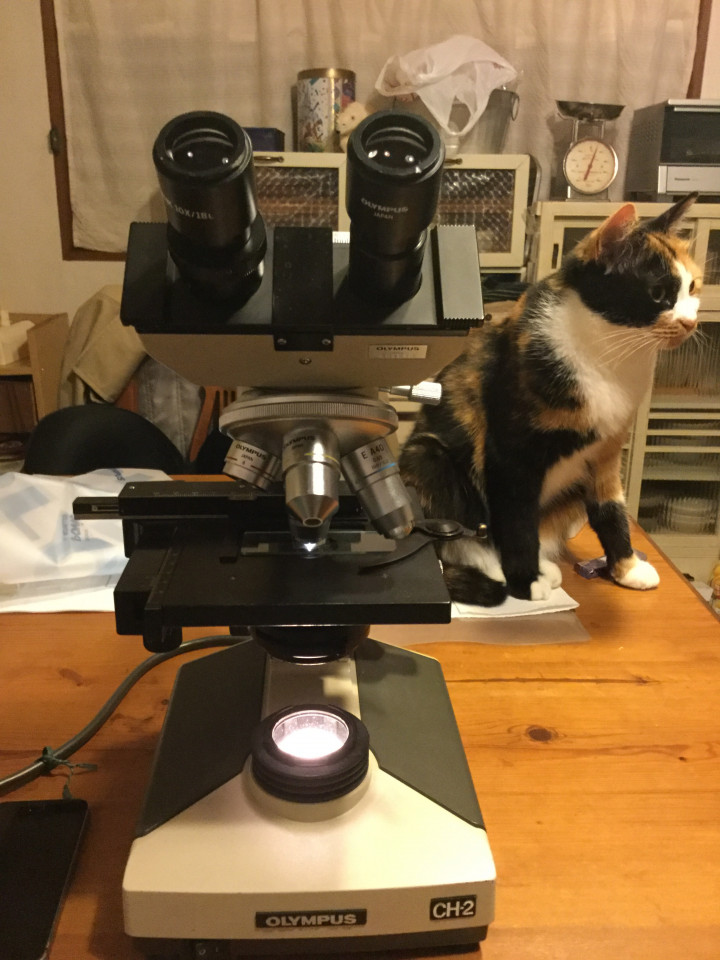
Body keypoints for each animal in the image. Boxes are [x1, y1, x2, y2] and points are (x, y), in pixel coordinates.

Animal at [399, 194, 702, 606]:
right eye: (658, 294)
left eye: (694, 287)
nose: (690, 323)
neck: (607, 355)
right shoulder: (511, 454)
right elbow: (517, 519)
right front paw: (525, 580)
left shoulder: (607, 451)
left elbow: (612, 510)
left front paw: (627, 567)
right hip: (428, 458)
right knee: (459, 538)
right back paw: (502, 570)